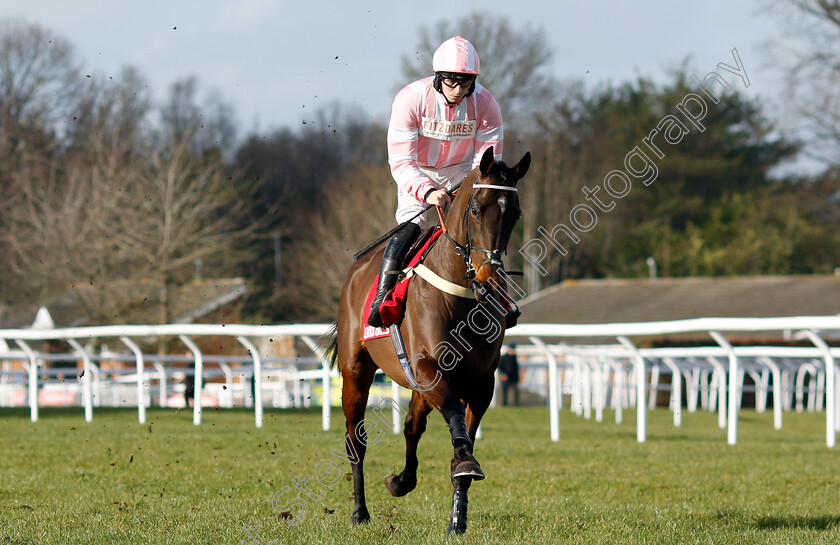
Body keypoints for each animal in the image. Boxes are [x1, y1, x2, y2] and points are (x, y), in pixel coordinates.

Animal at [330, 147, 532, 532]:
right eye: (475, 208)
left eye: (514, 213)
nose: (489, 278)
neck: (460, 297)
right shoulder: (427, 367)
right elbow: (454, 417)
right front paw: (464, 463)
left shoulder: (481, 382)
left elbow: (460, 434)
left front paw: (457, 517)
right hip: (356, 371)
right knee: (356, 441)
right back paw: (360, 511)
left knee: (412, 426)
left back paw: (401, 481)